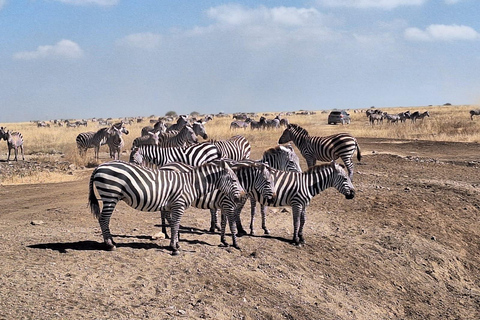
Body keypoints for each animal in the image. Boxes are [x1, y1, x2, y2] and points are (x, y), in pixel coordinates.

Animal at [87, 159, 244, 255]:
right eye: (234, 180)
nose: (242, 197)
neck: (191, 184)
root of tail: (99, 166)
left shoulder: (171, 206)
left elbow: (173, 224)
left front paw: (174, 243)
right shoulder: (179, 204)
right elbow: (175, 225)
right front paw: (174, 247)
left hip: (109, 196)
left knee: (103, 220)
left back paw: (112, 242)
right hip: (110, 195)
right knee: (103, 219)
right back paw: (109, 245)